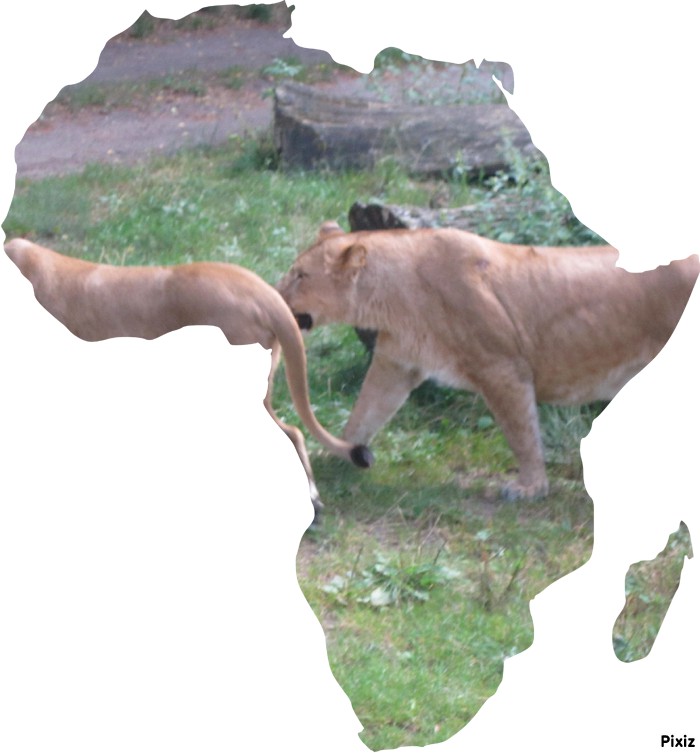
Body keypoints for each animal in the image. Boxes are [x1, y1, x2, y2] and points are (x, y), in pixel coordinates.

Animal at [277, 221, 699, 500]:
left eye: (300, 276)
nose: (273, 292)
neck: (393, 295)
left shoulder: (501, 367)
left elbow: (521, 431)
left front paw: (530, 488)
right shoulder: (396, 363)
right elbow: (365, 413)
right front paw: (336, 454)